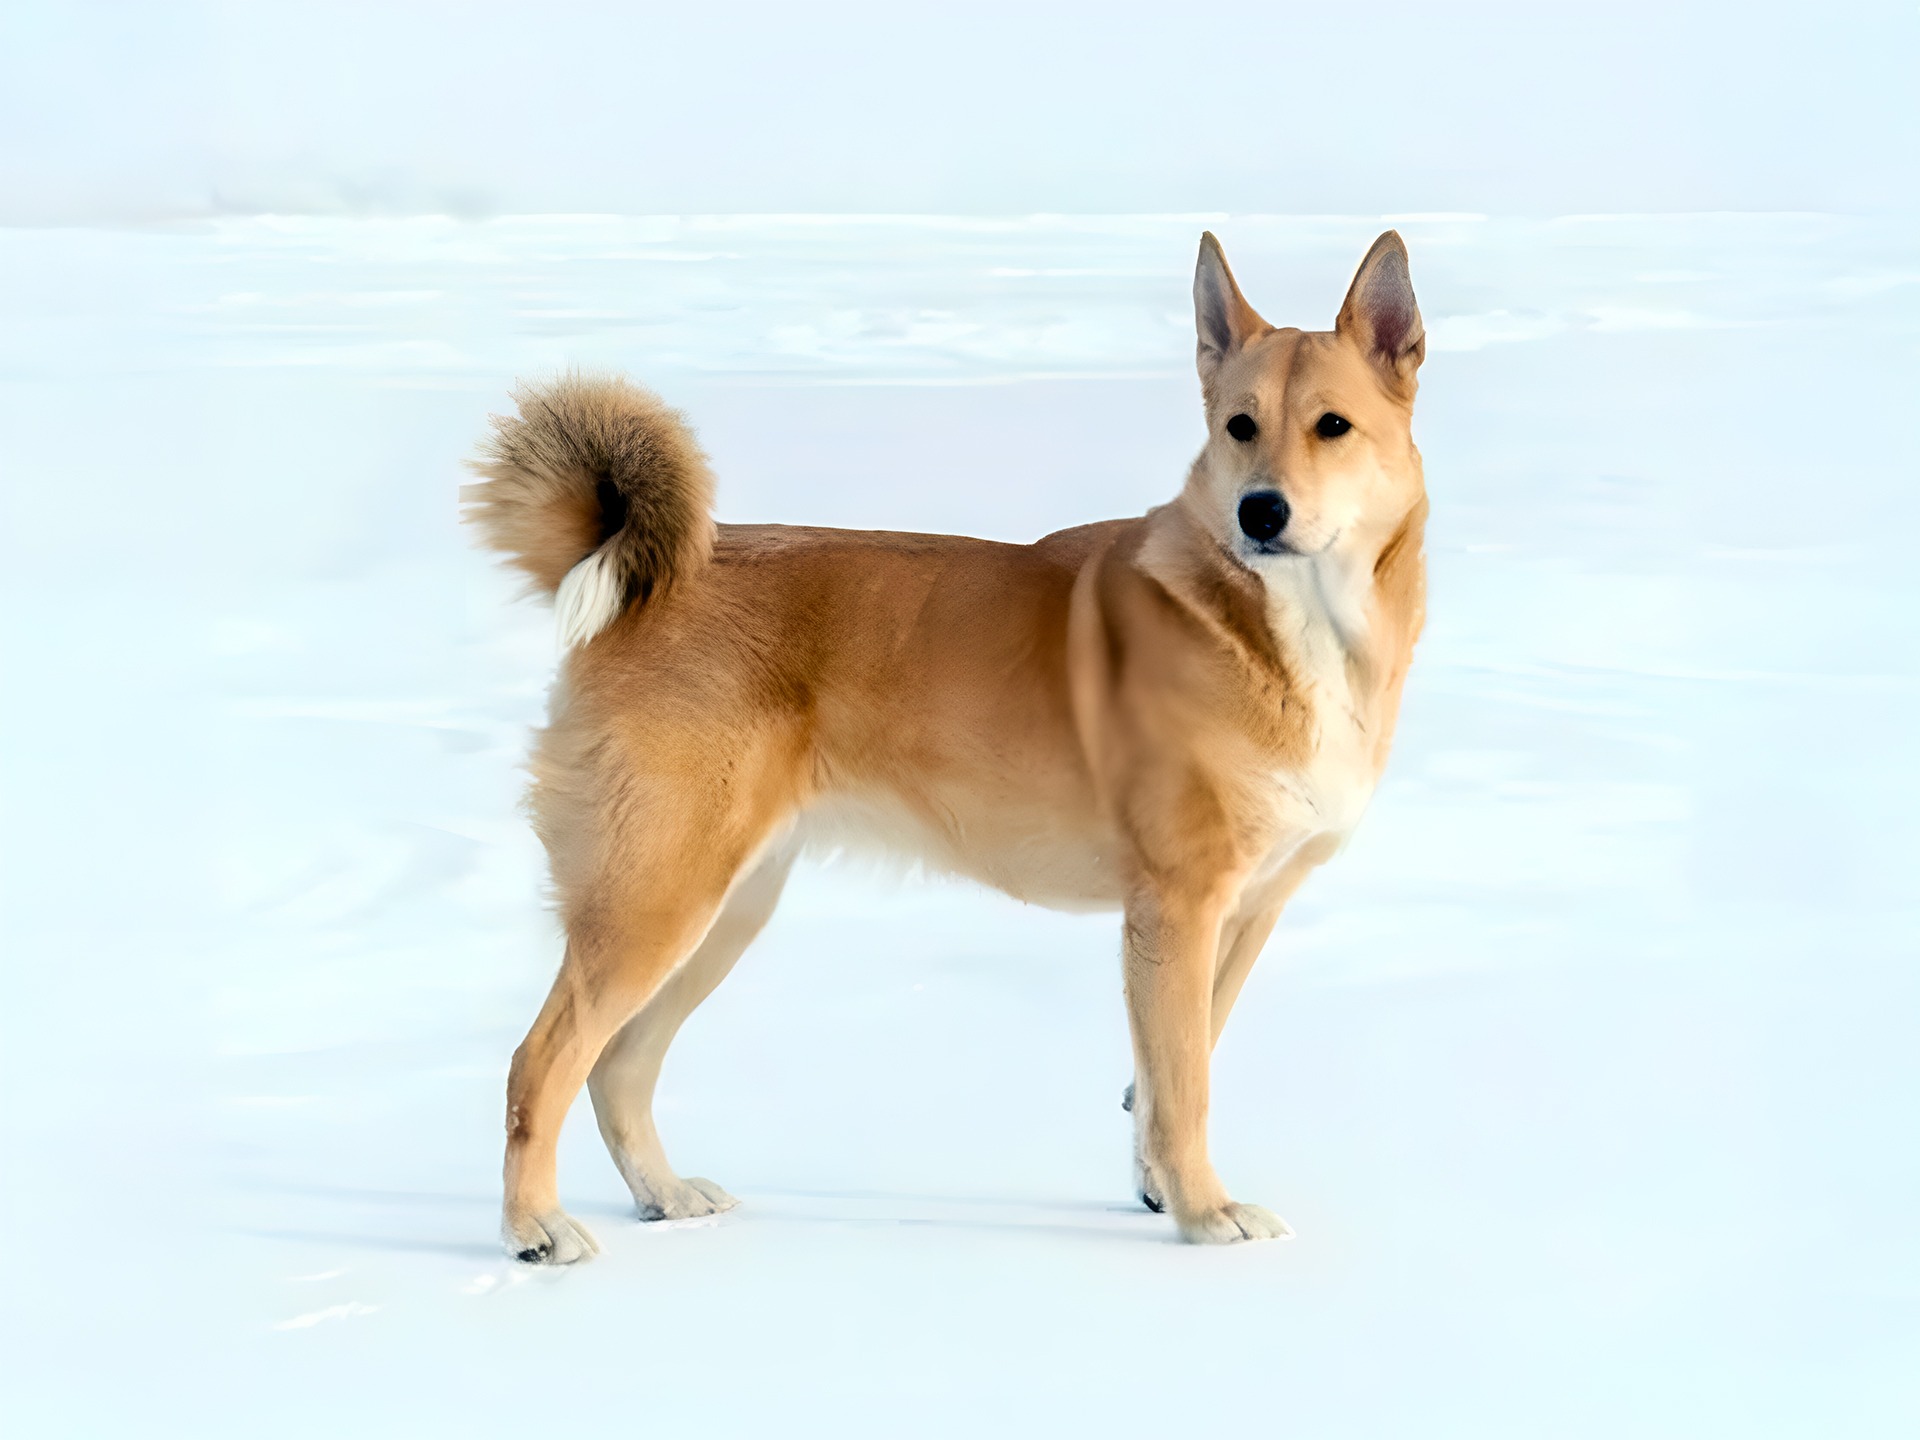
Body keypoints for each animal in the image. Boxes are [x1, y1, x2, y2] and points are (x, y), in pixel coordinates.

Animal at [460, 234, 1428, 1259]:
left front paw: (1162, 1191)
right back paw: (534, 1227)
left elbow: (1172, 1069)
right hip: (655, 898)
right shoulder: (1176, 910)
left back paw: (663, 1194)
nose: (1259, 512)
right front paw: (1207, 1215)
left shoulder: (1243, 912)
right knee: (541, 1061)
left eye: (1332, 426)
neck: (1289, 628)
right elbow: (1184, 1088)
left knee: (619, 1066)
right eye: (1240, 426)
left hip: (723, 908)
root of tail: (654, 581)